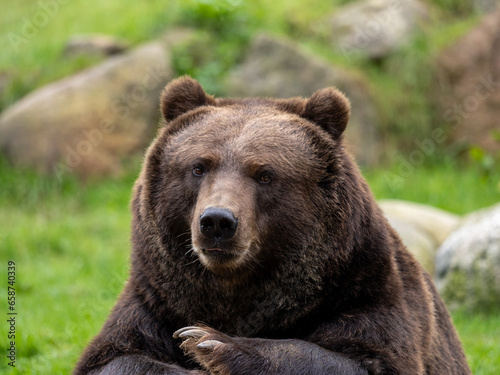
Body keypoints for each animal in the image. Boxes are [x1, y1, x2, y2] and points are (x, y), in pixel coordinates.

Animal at [74, 76, 472, 375]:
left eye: (264, 174)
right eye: (198, 166)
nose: (217, 221)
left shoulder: (366, 288)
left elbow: (363, 358)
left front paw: (209, 342)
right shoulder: (155, 299)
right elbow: (115, 359)